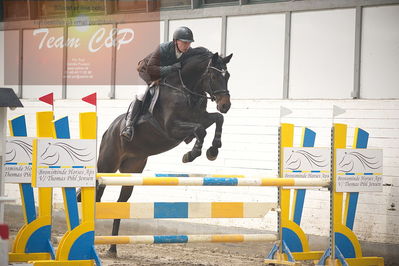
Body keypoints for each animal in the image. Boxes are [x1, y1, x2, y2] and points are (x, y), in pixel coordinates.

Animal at [94, 47, 233, 256]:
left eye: (228, 76)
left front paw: (213, 150)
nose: (226, 105)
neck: (187, 90)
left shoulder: (202, 117)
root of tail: (108, 130)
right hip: (107, 166)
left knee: (121, 202)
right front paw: (191, 154)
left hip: (132, 170)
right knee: (96, 195)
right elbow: (200, 130)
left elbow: (217, 119)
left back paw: (112, 248)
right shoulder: (171, 128)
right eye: (214, 75)